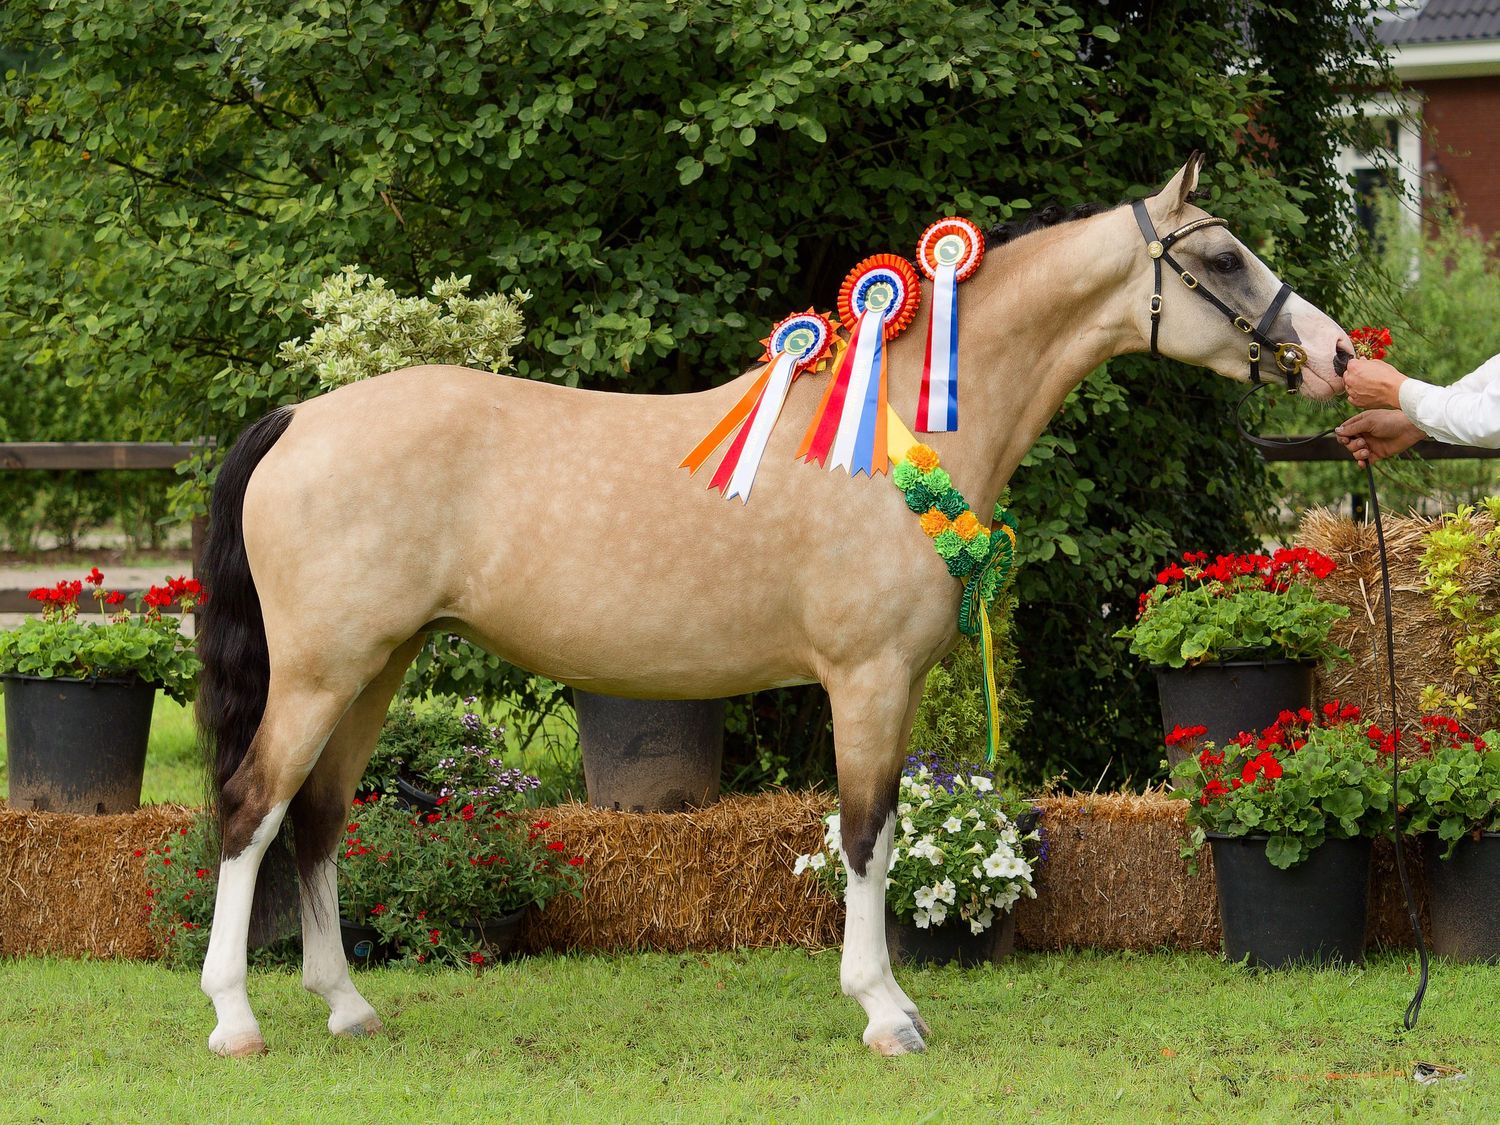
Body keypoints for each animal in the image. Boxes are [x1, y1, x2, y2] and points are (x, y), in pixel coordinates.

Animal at [195, 155, 1352, 1058]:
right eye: (1221, 259)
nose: (1338, 356)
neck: (893, 435)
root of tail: (301, 417)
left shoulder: (897, 683)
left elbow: (883, 832)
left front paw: (893, 1000)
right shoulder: (867, 679)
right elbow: (865, 832)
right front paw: (884, 1011)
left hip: (375, 670)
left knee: (318, 821)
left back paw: (347, 1006)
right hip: (322, 673)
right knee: (253, 809)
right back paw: (236, 1019)